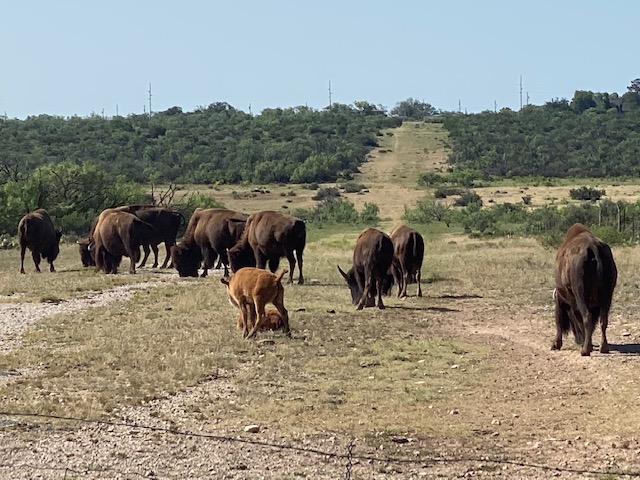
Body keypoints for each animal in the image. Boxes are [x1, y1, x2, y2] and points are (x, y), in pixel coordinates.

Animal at [552, 223, 617, 356]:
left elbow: (559, 321)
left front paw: (556, 344)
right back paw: (603, 348)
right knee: (603, 320)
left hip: (581, 296)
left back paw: (585, 350)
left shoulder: (562, 298)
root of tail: (593, 247)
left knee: (586, 317)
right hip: (607, 296)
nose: (578, 340)